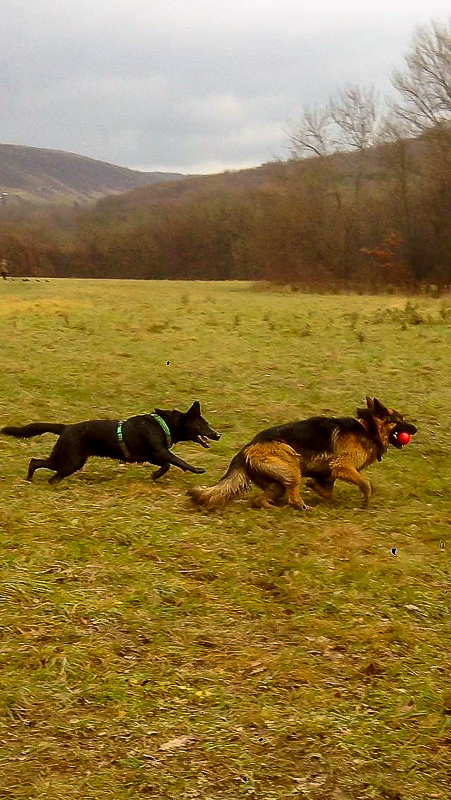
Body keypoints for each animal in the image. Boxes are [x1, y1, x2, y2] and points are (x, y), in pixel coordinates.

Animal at [1, 398, 221, 482]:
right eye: (202, 425)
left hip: (67, 459)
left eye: (207, 424)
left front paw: (155, 475)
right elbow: (178, 461)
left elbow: (166, 464)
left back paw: (30, 479)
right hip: (71, 461)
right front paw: (196, 469)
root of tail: (66, 427)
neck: (163, 424)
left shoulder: (150, 455)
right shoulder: (159, 451)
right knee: (46, 470)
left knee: (36, 462)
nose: (218, 435)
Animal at [187, 400, 416, 512]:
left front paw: (314, 487)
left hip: (278, 482)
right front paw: (365, 502)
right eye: (400, 420)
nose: (415, 429)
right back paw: (302, 507)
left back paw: (273, 507)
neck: (367, 429)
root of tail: (246, 449)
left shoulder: (329, 473)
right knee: (293, 498)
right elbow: (366, 483)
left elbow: (328, 491)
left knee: (261, 499)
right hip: (292, 466)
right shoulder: (342, 465)